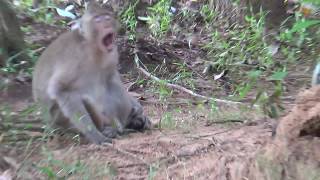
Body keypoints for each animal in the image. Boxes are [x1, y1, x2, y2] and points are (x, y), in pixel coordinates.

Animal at [32, 1, 151, 144]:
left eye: (107, 17)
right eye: (97, 20)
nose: (107, 23)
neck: (93, 48)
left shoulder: (112, 54)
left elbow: (110, 77)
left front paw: (135, 109)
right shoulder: (74, 58)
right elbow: (60, 89)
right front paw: (95, 135)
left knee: (109, 84)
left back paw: (129, 122)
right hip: (61, 120)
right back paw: (111, 128)